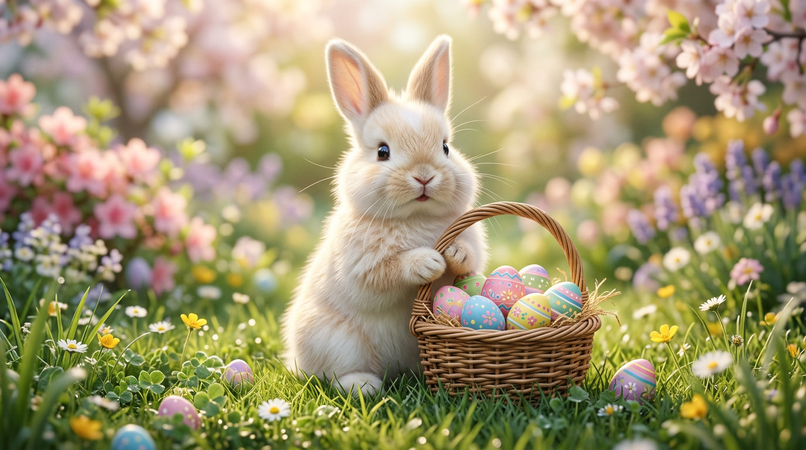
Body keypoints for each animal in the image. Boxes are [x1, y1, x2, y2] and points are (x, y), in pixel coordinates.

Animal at [281, 35, 488, 396]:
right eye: (382, 152)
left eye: (446, 147)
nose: (424, 176)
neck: (415, 217)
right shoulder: (363, 268)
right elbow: (389, 272)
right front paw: (428, 261)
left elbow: (469, 260)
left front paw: (453, 253)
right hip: (337, 341)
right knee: (332, 376)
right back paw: (365, 386)